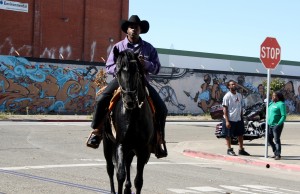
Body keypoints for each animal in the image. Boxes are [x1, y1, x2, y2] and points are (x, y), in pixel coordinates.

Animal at [103, 47, 155, 193]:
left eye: (136, 71)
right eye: (117, 71)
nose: (129, 101)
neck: (134, 115)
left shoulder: (142, 149)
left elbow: (139, 181)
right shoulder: (121, 144)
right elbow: (120, 174)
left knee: (127, 163)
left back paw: (127, 188)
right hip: (107, 142)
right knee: (110, 168)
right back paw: (113, 190)